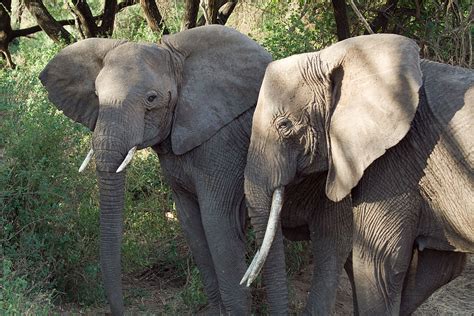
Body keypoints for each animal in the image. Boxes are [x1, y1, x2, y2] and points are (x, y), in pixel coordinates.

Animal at [38, 25, 270, 314]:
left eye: (151, 98)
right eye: (97, 96)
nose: (122, 310)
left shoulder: (223, 143)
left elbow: (217, 223)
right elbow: (192, 224)